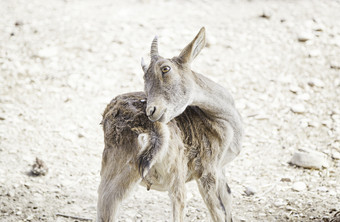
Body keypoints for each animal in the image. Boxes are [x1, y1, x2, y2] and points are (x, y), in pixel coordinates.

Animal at [97, 27, 243, 222]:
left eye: (165, 68)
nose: (151, 110)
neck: (222, 118)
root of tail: (152, 129)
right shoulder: (207, 169)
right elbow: (218, 212)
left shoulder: (220, 170)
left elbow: (227, 204)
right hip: (162, 173)